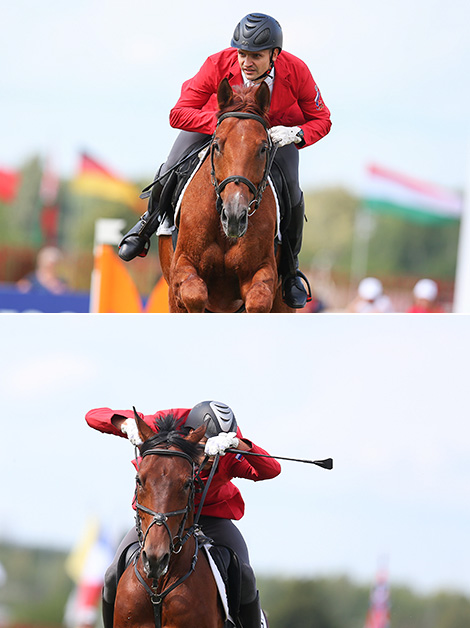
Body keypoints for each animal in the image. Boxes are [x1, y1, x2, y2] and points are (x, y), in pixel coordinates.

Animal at [159, 78, 294, 314]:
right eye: (217, 145)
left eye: (263, 148)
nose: (233, 216)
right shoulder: (182, 267)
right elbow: (195, 294)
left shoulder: (262, 271)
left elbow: (258, 301)